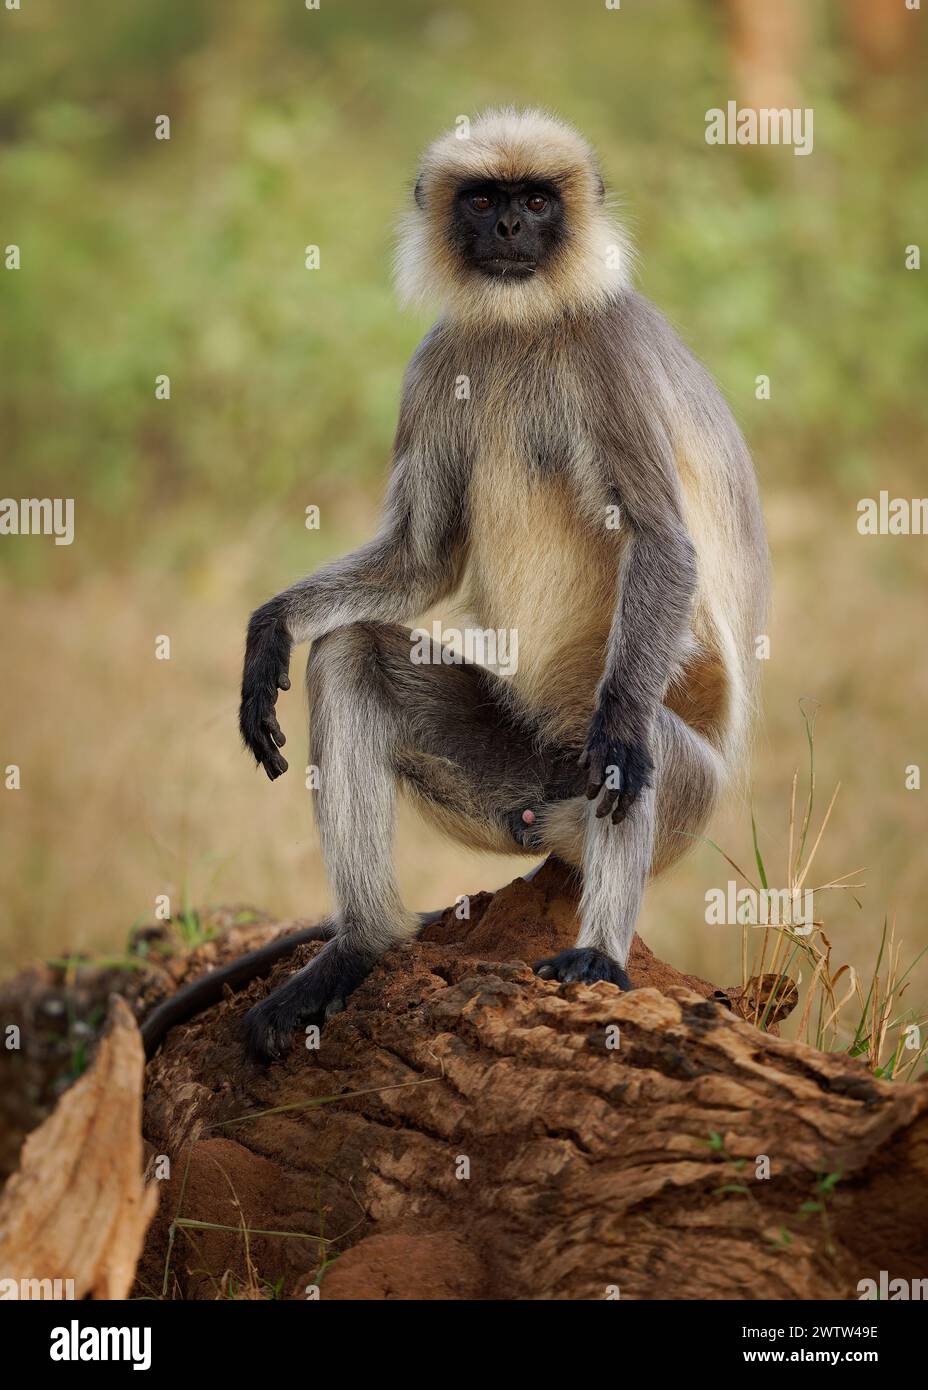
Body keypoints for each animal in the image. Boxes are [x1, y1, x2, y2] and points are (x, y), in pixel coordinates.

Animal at [180, 108, 766, 1061]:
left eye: (537, 200)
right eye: (486, 201)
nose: (512, 228)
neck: (524, 324)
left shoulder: (606, 350)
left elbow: (663, 544)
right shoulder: (438, 358)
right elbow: (422, 560)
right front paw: (268, 632)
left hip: (667, 798)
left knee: (639, 739)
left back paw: (600, 956)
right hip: (510, 779)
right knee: (349, 654)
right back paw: (359, 946)